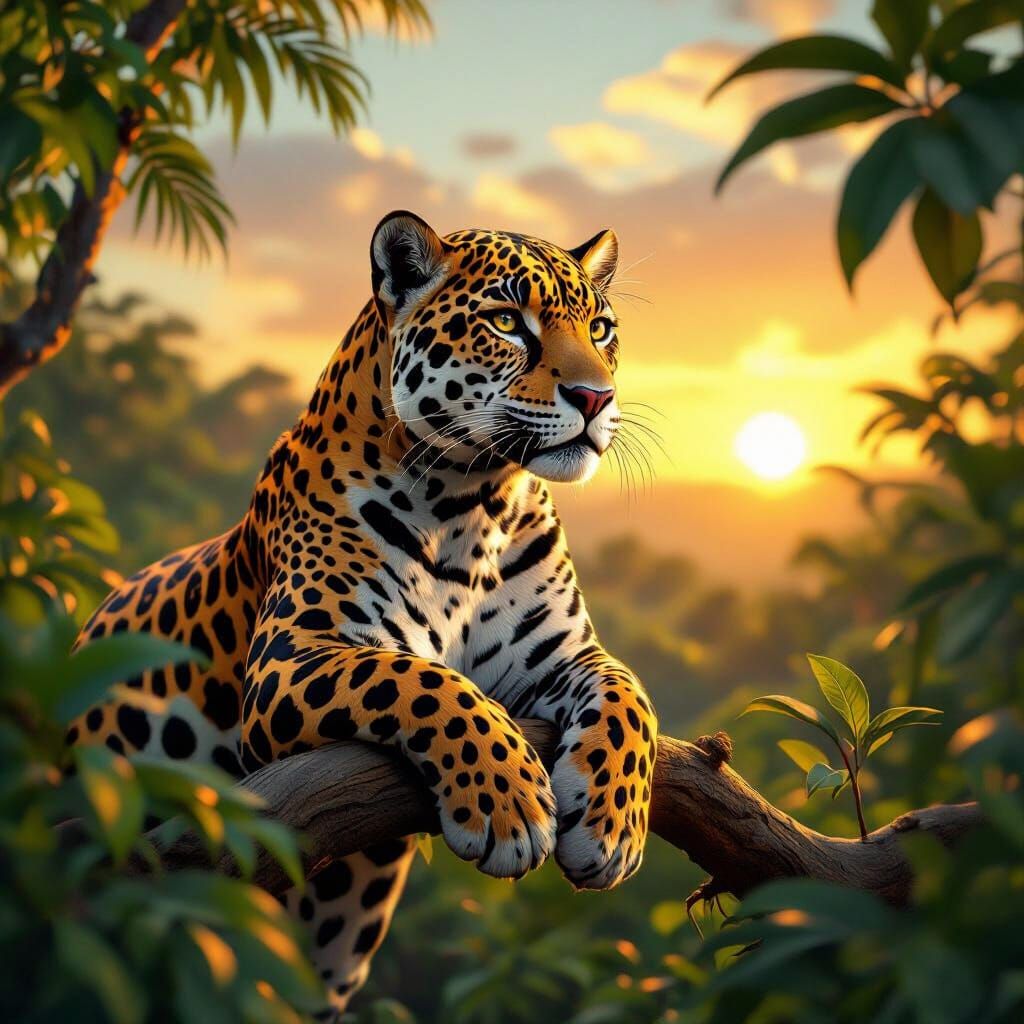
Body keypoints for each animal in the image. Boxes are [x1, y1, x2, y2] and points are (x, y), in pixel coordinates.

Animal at [66, 211, 659, 1018]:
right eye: (508, 322)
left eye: (600, 329)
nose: (596, 398)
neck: (474, 505)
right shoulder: (293, 657)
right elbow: (425, 683)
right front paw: (507, 805)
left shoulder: (565, 656)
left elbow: (632, 698)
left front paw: (613, 824)